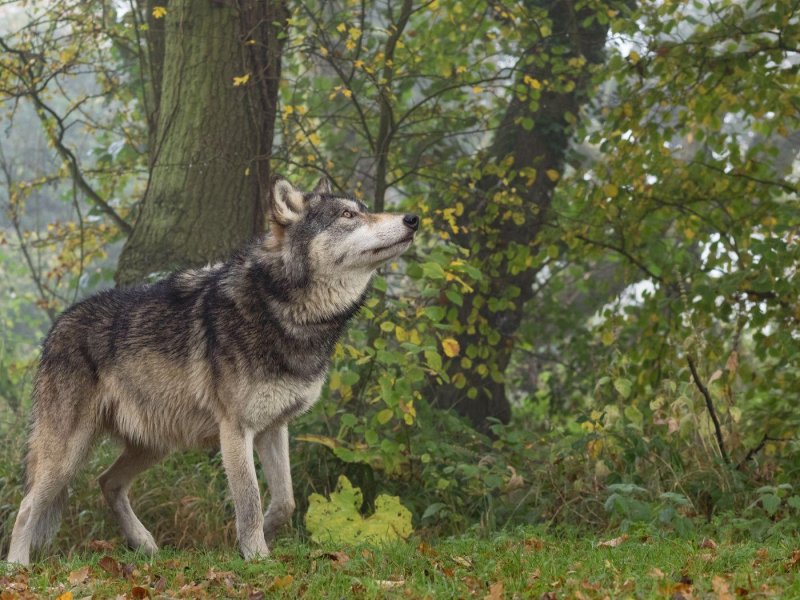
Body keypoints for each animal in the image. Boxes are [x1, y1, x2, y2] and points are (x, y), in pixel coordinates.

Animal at [6, 176, 418, 564]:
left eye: (364, 209)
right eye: (348, 215)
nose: (412, 219)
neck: (282, 311)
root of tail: (55, 328)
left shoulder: (274, 427)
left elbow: (284, 503)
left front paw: (251, 542)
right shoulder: (235, 430)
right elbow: (250, 502)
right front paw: (257, 558)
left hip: (155, 445)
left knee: (107, 482)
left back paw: (145, 544)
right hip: (68, 454)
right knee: (27, 506)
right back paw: (17, 566)